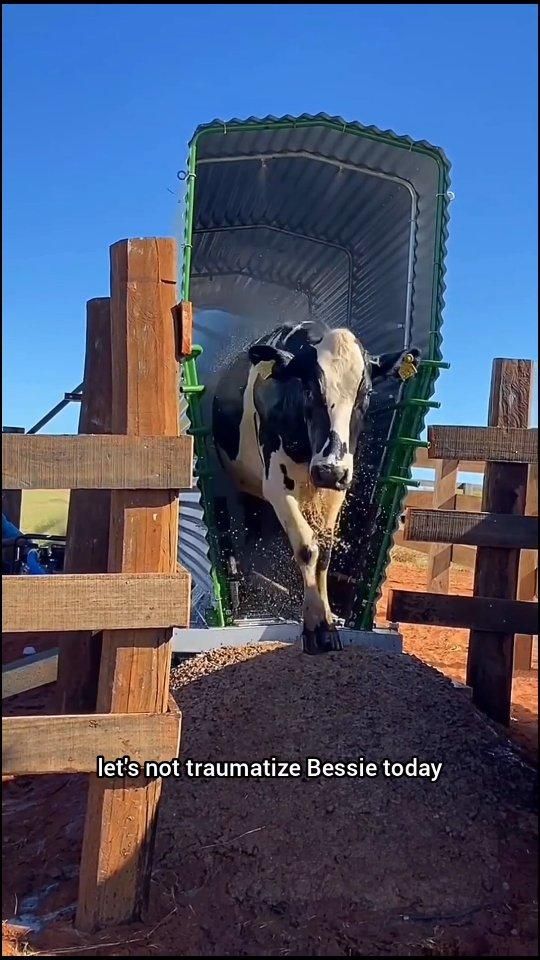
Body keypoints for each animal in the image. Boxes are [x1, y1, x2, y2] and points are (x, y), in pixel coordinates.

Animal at [212, 320, 420, 655]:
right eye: (309, 389)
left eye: (366, 392)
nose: (329, 469)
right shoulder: (276, 486)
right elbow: (307, 547)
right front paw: (313, 626)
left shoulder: (337, 489)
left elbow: (324, 551)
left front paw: (329, 625)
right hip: (248, 489)